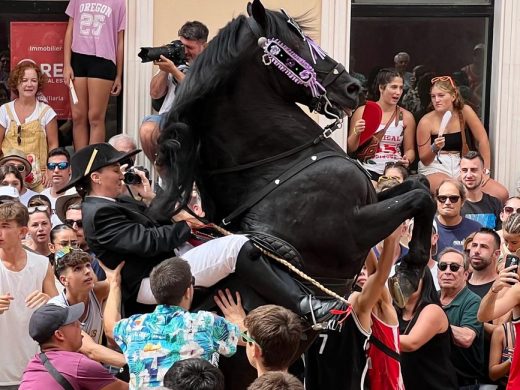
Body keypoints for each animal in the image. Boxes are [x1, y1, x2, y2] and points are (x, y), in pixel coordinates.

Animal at [152, 0, 436, 386]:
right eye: (296, 41)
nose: (352, 88)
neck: (276, 169)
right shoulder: (352, 229)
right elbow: (420, 198)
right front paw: (410, 271)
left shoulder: (371, 197)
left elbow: (420, 188)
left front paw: (408, 270)